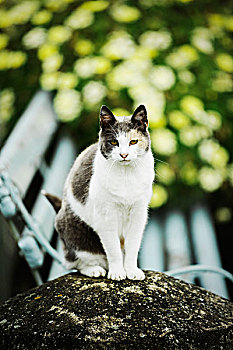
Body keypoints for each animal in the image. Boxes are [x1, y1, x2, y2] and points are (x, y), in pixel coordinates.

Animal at [45, 104, 155, 282]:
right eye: (114, 142)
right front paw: (117, 272)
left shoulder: (139, 213)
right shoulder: (106, 216)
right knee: (74, 262)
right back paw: (95, 270)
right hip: (77, 234)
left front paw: (132, 270)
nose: (124, 154)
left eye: (133, 141)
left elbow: (132, 246)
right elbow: (113, 249)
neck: (126, 176)